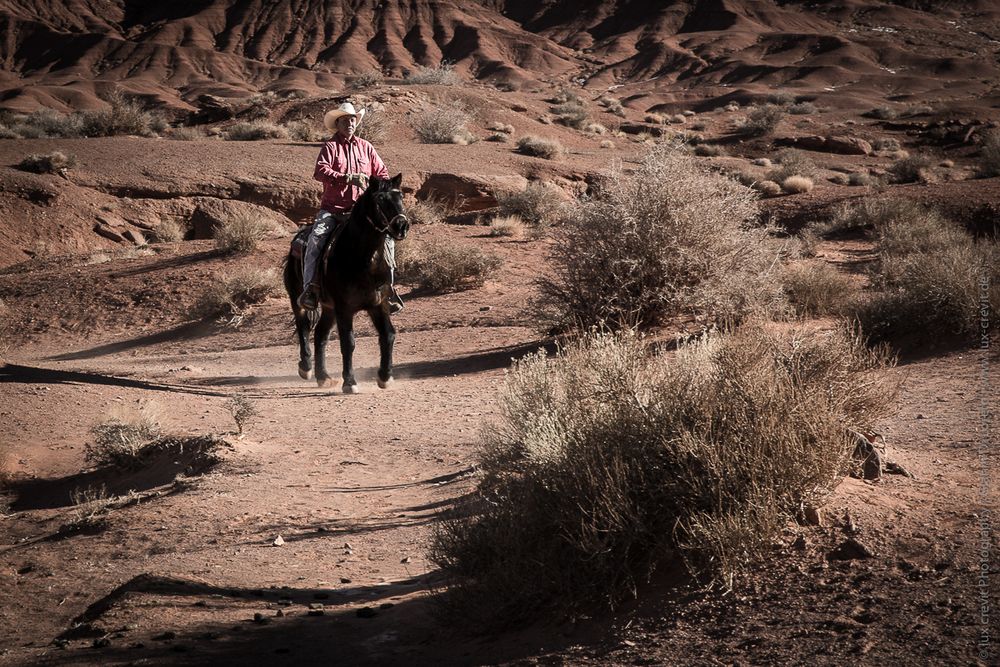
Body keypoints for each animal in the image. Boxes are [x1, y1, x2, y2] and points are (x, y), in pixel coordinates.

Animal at [284, 175, 408, 394]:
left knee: (320, 334)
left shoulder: (378, 305)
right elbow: (348, 342)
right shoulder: (344, 308)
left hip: (328, 308)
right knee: (303, 326)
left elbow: (388, 335)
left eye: (400, 196)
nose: (402, 226)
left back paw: (323, 377)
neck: (363, 260)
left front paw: (385, 376)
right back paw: (306, 368)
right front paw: (349, 382)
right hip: (297, 297)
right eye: (380, 199)